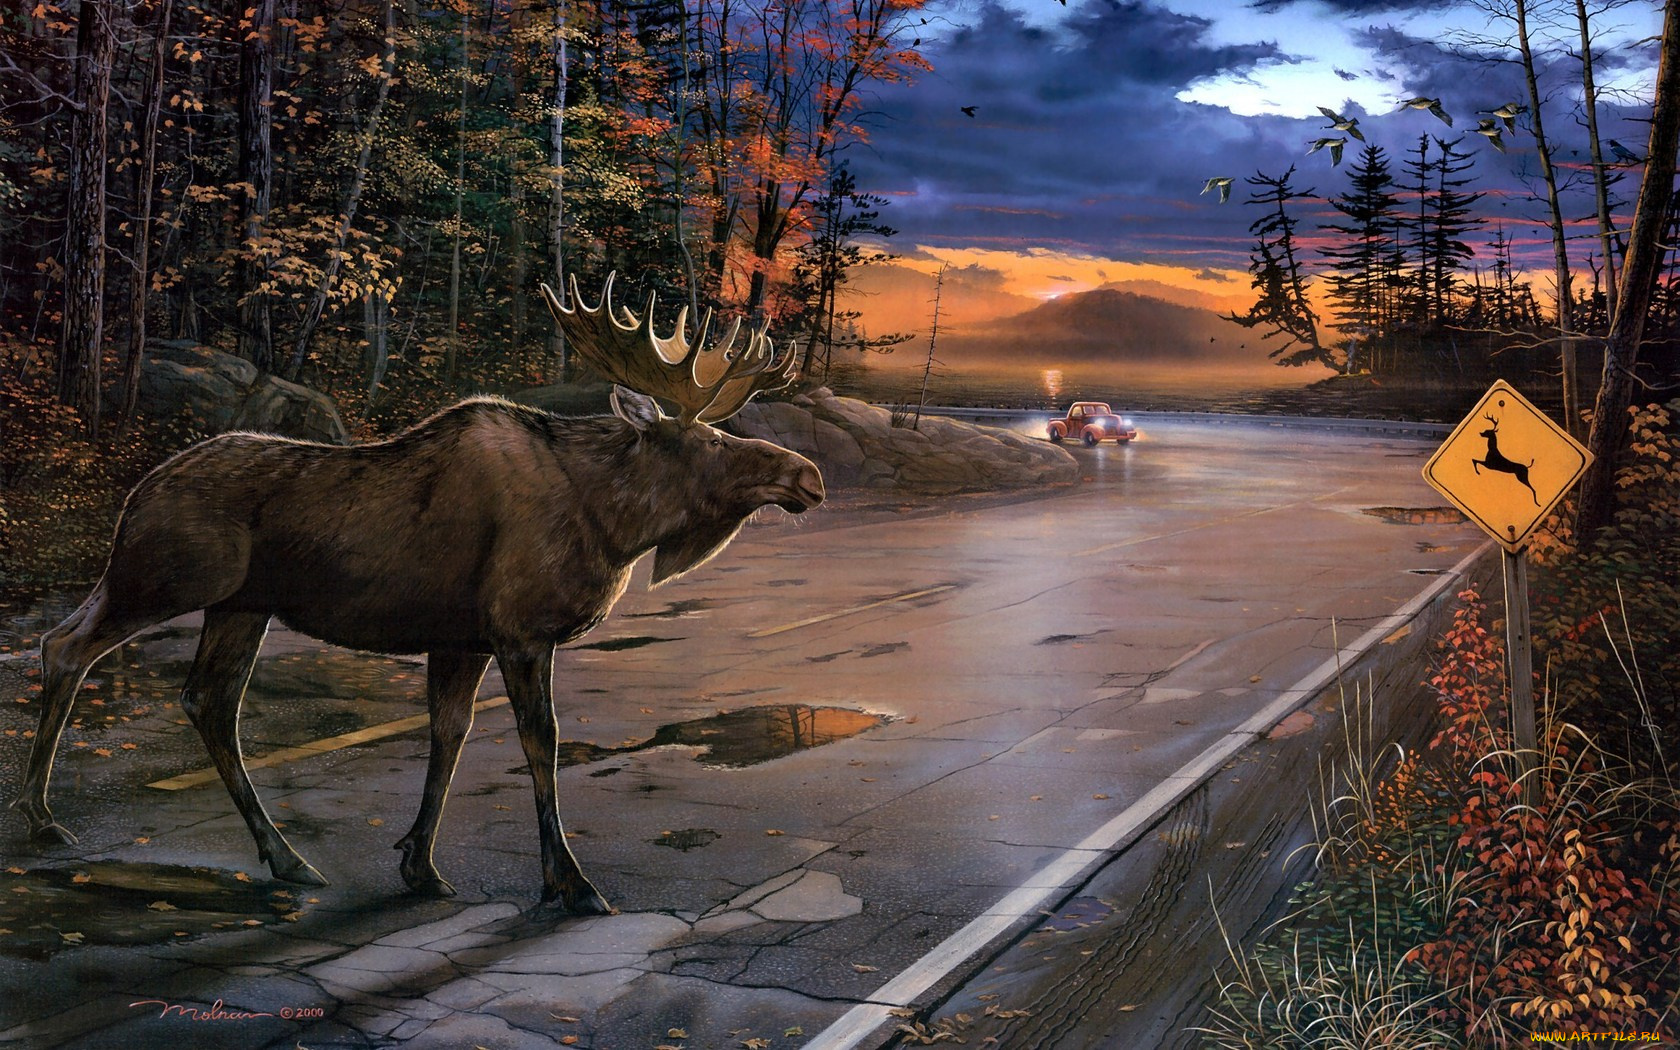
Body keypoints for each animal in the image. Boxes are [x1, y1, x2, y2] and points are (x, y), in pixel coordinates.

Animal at [10, 273, 824, 914]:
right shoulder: (519, 629)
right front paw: (569, 884)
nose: (809, 475)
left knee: (200, 697)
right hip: (166, 577)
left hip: (233, 604)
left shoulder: (461, 637)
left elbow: (449, 735)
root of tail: (134, 496)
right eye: (714, 441)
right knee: (69, 647)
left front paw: (419, 865)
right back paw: (42, 819)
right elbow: (541, 742)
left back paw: (285, 858)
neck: (611, 524)